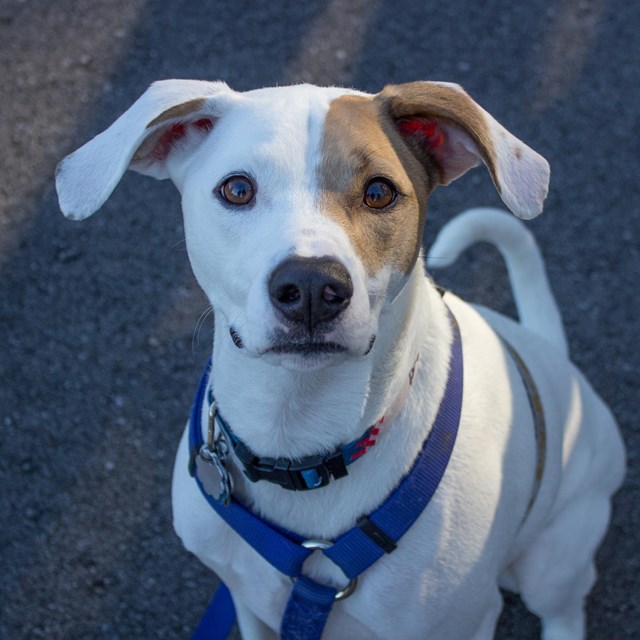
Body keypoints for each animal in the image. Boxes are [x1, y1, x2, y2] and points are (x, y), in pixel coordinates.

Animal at [56, 81, 624, 640]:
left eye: (379, 192)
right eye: (237, 190)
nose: (311, 286)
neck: (299, 440)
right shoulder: (247, 598)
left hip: (555, 559)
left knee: (563, 609)